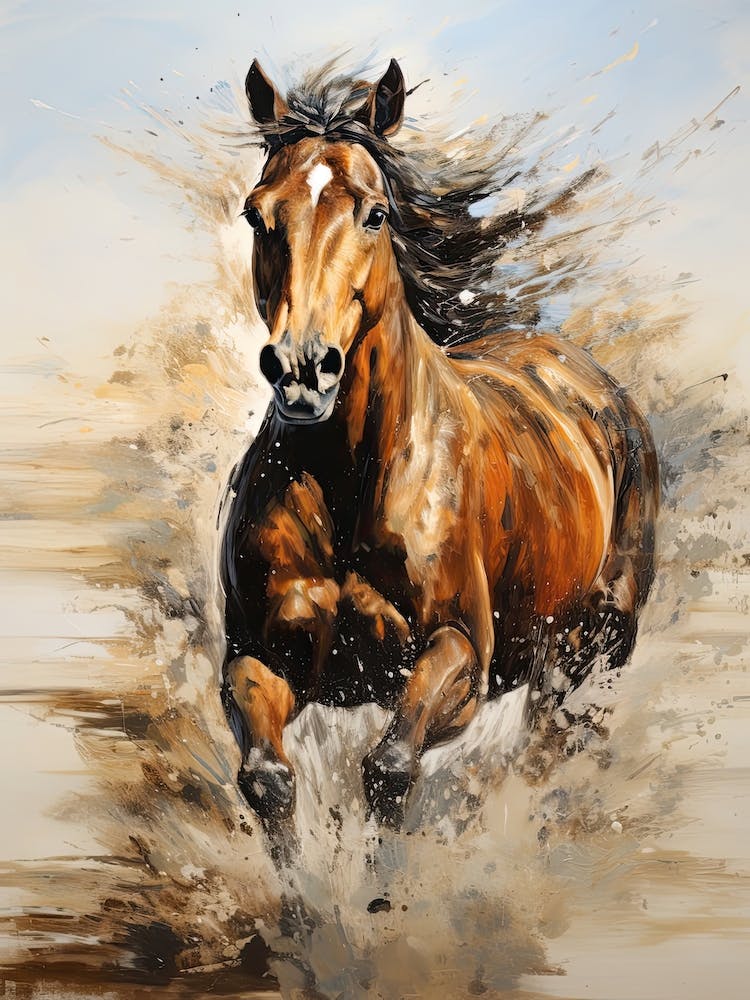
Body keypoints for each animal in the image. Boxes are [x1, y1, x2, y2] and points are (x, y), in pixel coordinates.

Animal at [219, 58, 659, 830]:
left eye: (374, 212)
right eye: (256, 213)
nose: (303, 370)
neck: (349, 482)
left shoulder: (458, 655)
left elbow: (389, 768)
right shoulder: (261, 657)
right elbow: (268, 779)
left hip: (594, 643)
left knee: (559, 741)